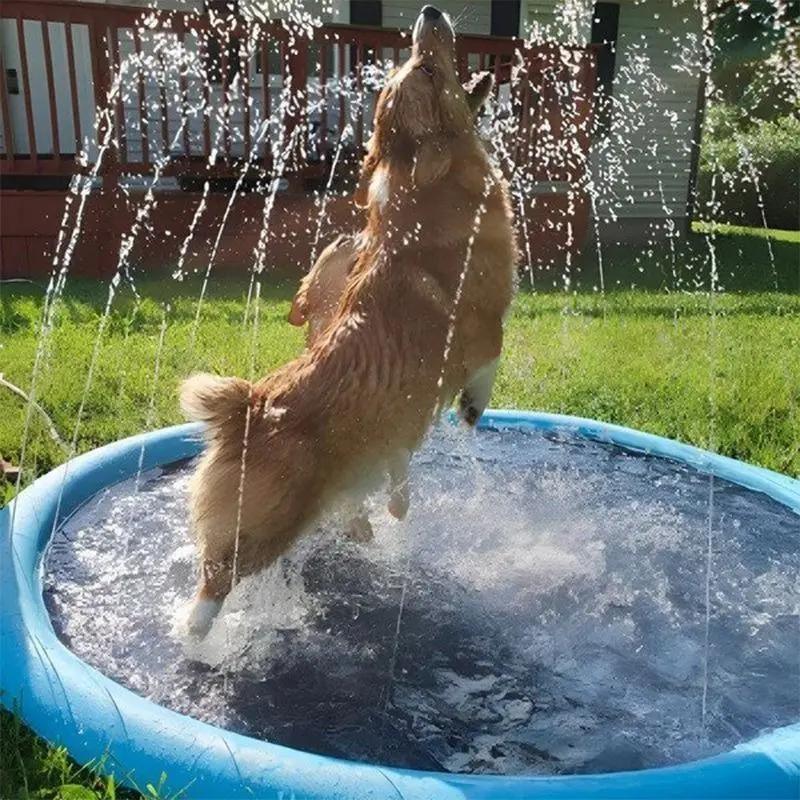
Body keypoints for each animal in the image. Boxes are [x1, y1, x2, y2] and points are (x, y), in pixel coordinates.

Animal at [180, 3, 520, 636]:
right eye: (426, 71)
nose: (429, 13)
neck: (428, 189)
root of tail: (247, 409)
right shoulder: (484, 328)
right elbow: (489, 363)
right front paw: (471, 409)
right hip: (265, 527)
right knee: (214, 582)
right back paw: (197, 637)